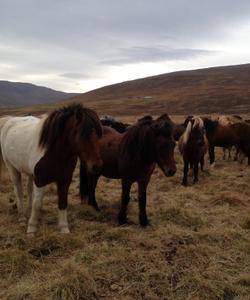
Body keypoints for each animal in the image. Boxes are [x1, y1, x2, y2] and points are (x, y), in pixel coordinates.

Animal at [0, 104, 102, 236]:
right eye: (82, 134)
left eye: (99, 134)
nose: (97, 166)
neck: (55, 152)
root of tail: (9, 120)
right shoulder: (40, 180)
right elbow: (37, 204)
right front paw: (31, 228)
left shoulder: (64, 180)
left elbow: (62, 202)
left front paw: (64, 228)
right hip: (12, 168)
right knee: (19, 191)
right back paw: (22, 218)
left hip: (30, 173)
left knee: (29, 190)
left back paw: (28, 212)